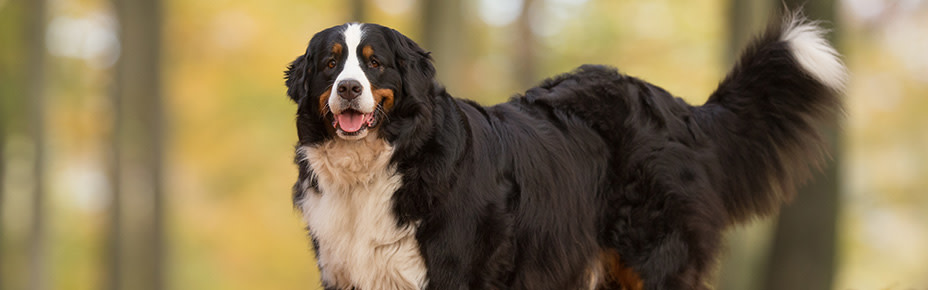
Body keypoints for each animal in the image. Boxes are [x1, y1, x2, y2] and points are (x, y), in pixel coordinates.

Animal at [282, 10, 848, 290]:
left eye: (373, 63)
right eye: (331, 64)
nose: (348, 88)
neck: (381, 166)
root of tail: (676, 108)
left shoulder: (452, 272)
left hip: (654, 261)